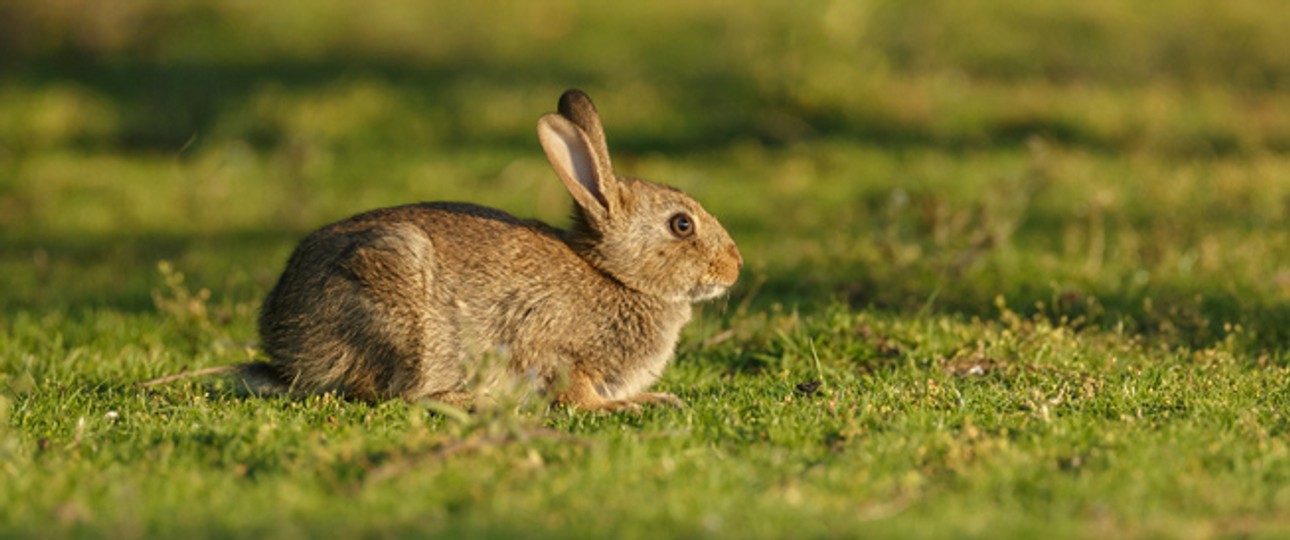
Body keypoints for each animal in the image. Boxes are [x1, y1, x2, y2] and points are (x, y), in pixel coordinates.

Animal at [230, 88, 743, 412]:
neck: (616, 275)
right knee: (388, 391)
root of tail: (284, 343)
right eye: (681, 225)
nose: (735, 267)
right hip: (396, 305)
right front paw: (633, 404)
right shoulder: (557, 352)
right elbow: (576, 395)